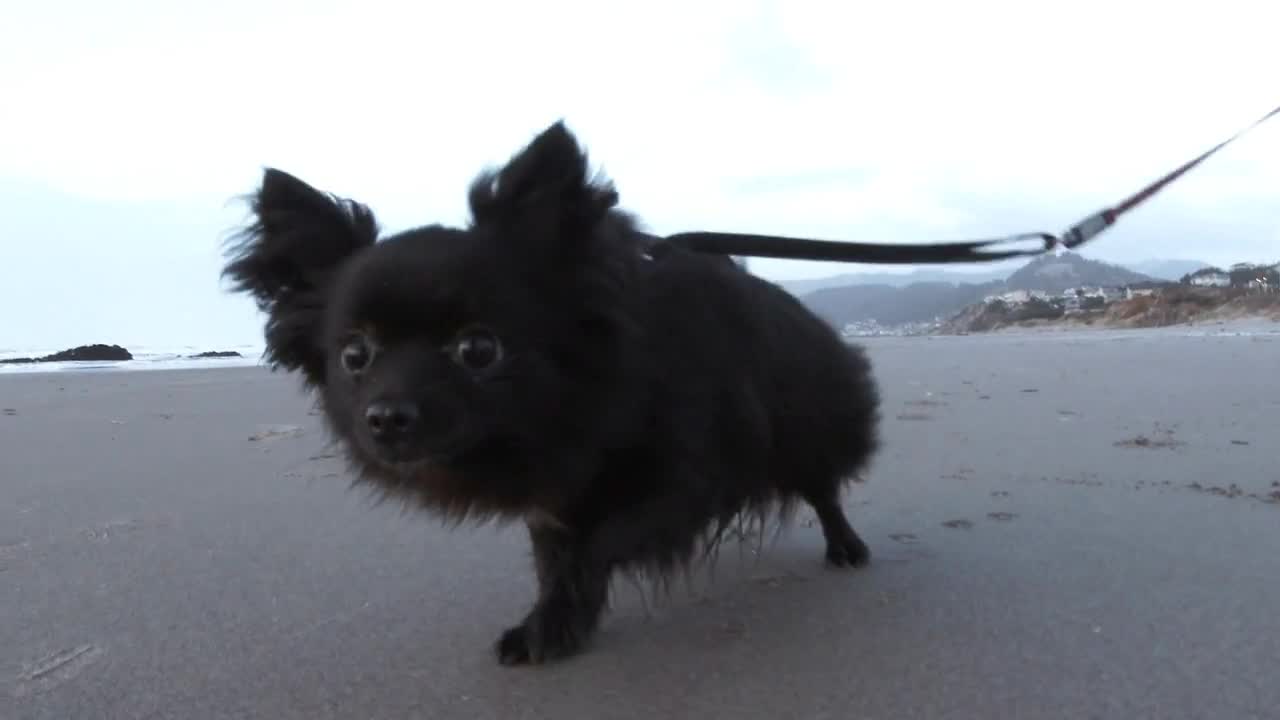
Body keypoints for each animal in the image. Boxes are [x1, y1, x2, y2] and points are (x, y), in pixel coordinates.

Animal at [222, 120, 880, 666]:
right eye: (355, 356)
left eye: (478, 349)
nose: (385, 416)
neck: (571, 406)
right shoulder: (555, 499)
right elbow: (555, 561)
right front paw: (554, 627)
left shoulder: (685, 479)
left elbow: (594, 546)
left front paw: (558, 620)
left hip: (805, 431)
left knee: (823, 488)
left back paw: (846, 546)